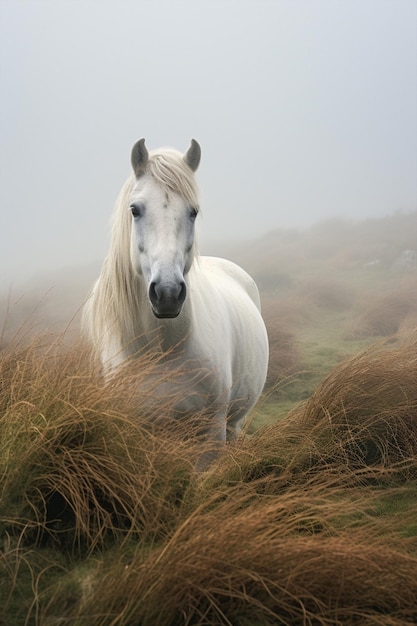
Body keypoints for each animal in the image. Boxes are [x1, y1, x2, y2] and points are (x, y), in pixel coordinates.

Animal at [83, 138, 268, 458]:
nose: (167, 293)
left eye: (193, 211)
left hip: (233, 424)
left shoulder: (211, 433)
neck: (164, 352)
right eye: (135, 210)